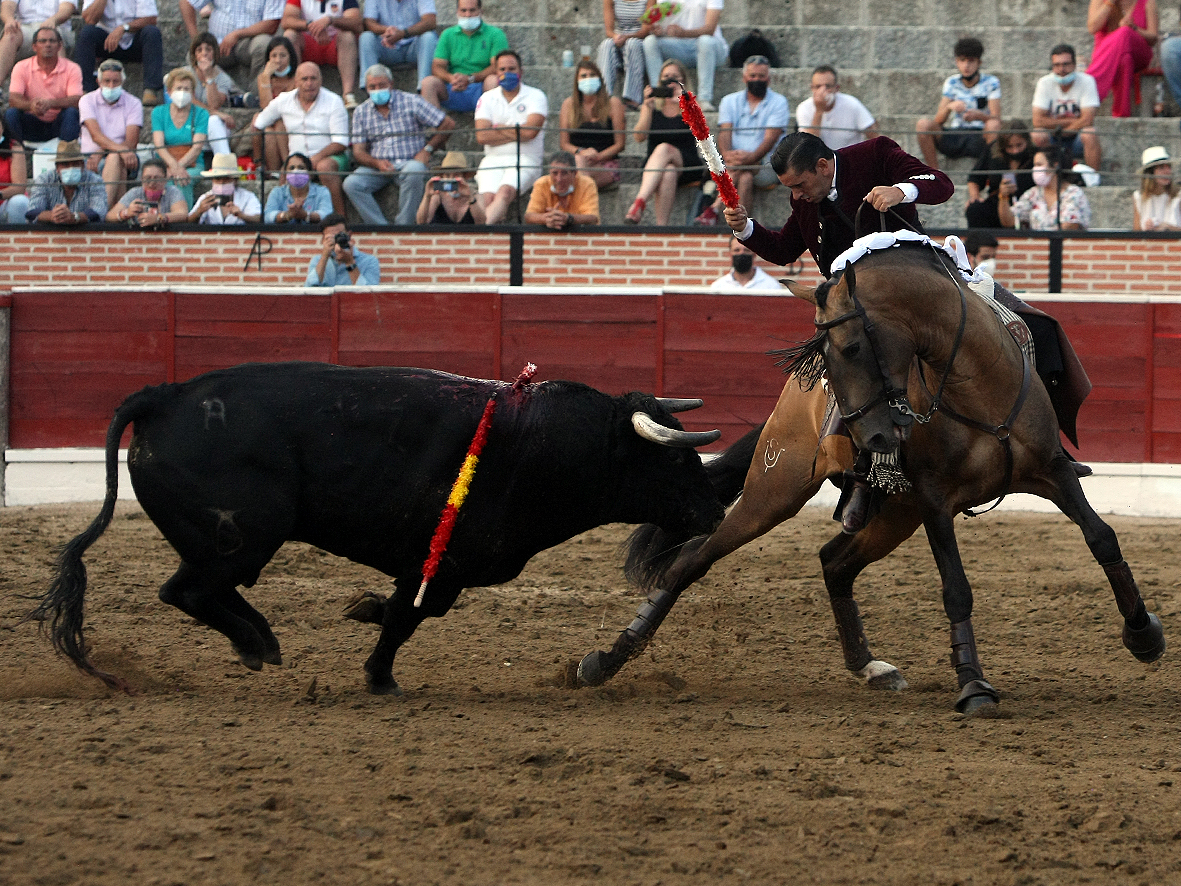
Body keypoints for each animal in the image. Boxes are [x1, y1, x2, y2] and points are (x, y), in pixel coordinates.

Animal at [29, 362, 739, 695]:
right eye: (675, 459)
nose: (715, 512)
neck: (544, 446)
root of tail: (165, 395)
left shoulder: (432, 568)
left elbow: (404, 610)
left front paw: (364, 614)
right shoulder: (441, 566)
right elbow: (407, 617)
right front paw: (379, 674)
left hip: (233, 541)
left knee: (199, 590)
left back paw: (261, 642)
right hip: (243, 534)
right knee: (189, 590)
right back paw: (259, 644)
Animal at [577, 240, 1165, 713]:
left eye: (854, 347)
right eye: (825, 355)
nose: (876, 438)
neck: (973, 386)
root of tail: (790, 404)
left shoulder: (1053, 472)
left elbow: (1102, 537)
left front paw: (1144, 635)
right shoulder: (933, 500)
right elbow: (956, 588)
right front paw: (973, 685)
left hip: (891, 515)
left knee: (833, 563)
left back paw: (868, 665)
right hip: (778, 489)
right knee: (693, 559)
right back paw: (606, 660)